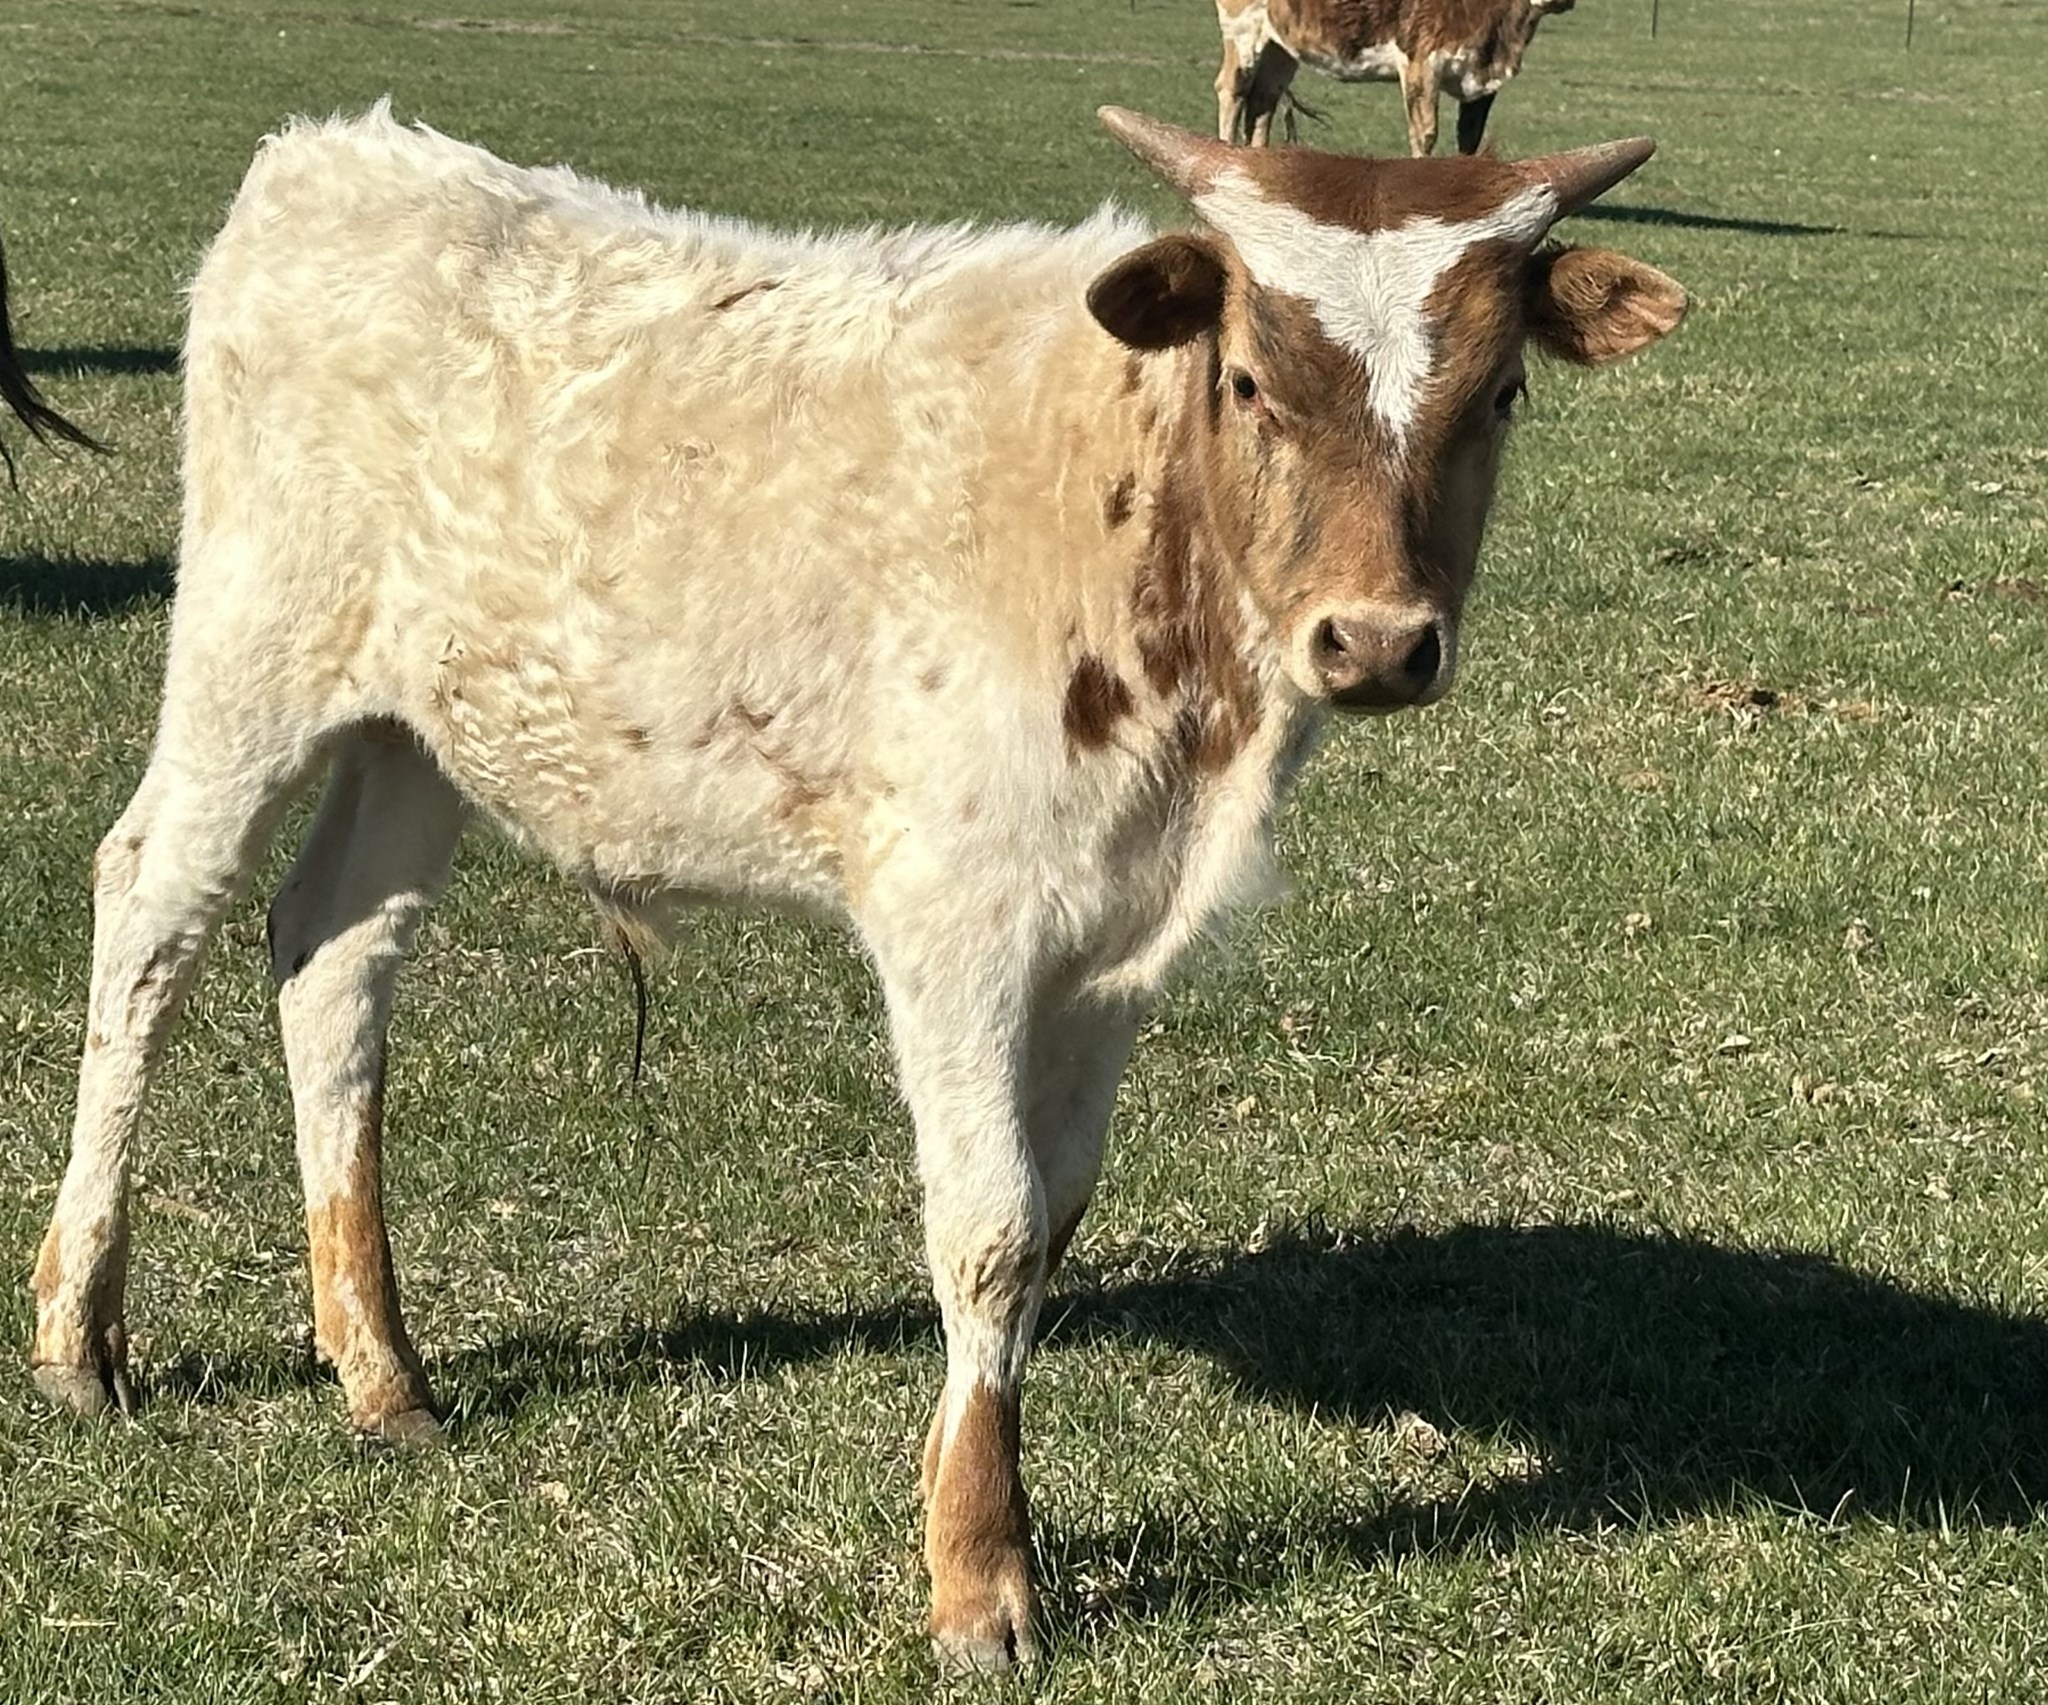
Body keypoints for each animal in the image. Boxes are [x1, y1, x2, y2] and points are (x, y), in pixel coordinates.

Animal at [26, 104, 1685, 1671]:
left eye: (1500, 392)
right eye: (1252, 384)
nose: (1379, 641)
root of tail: (337, 156)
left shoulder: (1108, 948)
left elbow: (1056, 1211)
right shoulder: (957, 921)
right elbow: (992, 1223)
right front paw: (981, 1574)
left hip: (421, 728)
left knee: (334, 958)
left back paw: (380, 1369)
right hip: (251, 657)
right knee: (151, 915)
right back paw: (79, 1331)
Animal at [1216, 0, 1579, 156]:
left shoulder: (1481, 79)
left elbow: (1470, 138)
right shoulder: (1421, 60)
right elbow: (1425, 134)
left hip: (1280, 46)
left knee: (1262, 102)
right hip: (1243, 31)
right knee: (1232, 90)